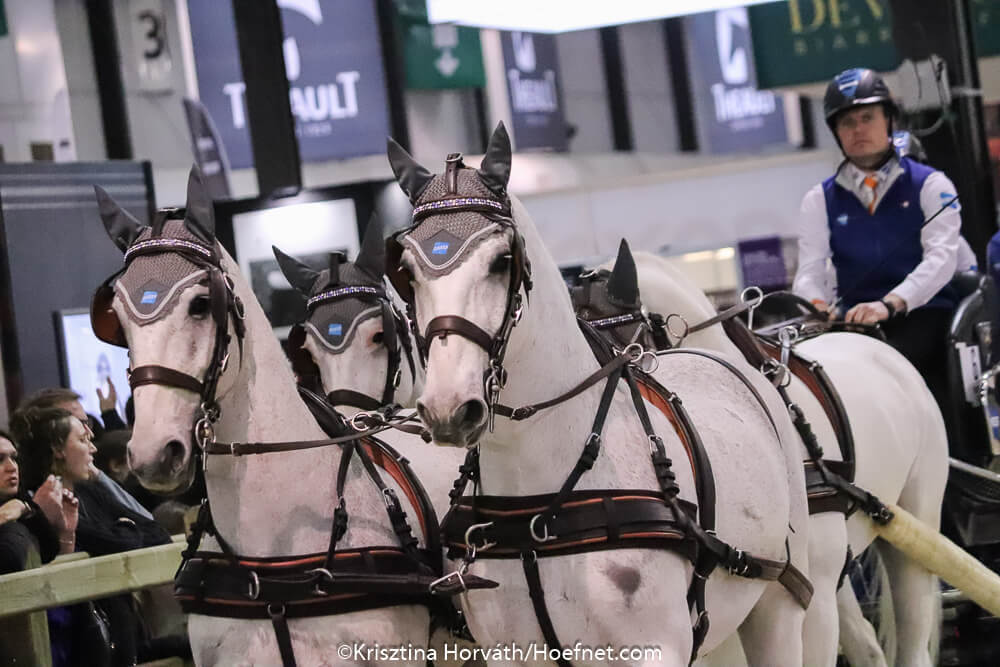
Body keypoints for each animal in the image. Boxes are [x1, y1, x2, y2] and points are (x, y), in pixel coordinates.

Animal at [382, 123, 816, 666]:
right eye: (407, 272)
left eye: (502, 261)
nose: (447, 409)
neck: (536, 501)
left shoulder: (655, 649)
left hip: (783, 606)